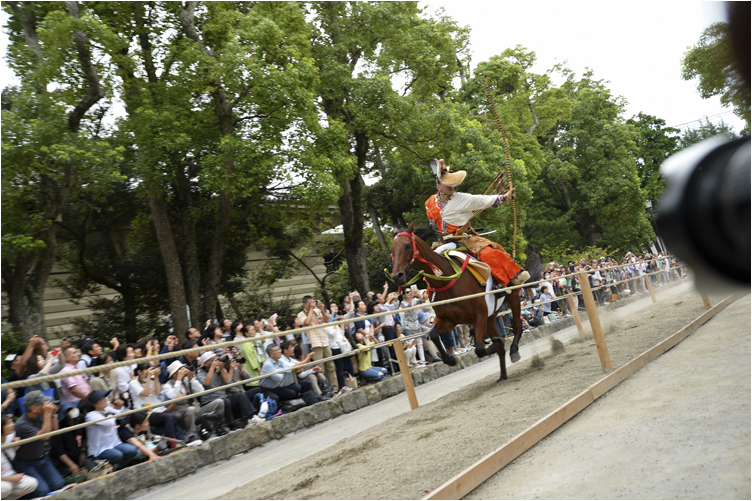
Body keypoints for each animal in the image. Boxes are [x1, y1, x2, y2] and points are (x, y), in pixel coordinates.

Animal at [394, 221, 524, 380]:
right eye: (392, 249)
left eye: (407, 246)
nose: (397, 275)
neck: (446, 280)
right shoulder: (449, 320)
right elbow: (434, 334)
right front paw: (450, 359)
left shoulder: (479, 315)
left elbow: (480, 349)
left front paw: (498, 342)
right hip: (490, 317)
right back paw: (503, 375)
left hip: (513, 293)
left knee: (517, 326)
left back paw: (514, 350)